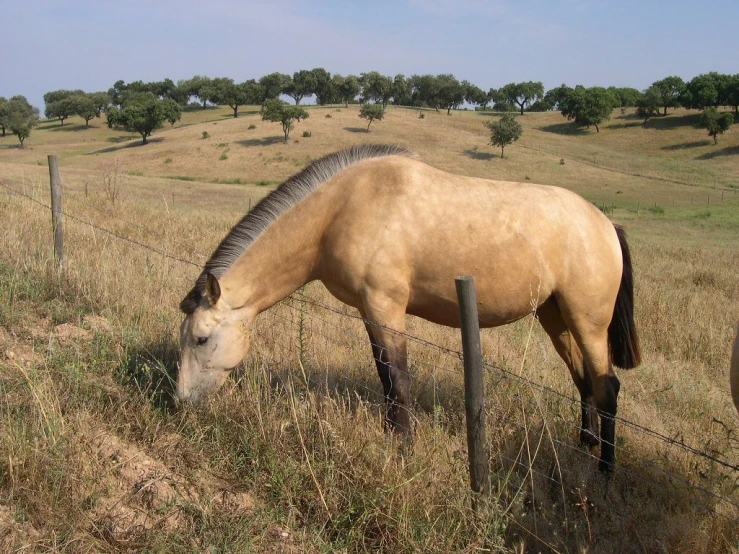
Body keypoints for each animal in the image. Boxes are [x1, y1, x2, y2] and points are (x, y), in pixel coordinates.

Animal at [176, 143, 640, 470]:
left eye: (201, 339)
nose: (180, 402)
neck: (342, 209)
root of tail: (605, 224)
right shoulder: (369, 312)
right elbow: (384, 376)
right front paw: (391, 437)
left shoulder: (386, 308)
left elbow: (397, 378)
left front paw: (402, 446)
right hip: (555, 317)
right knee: (583, 381)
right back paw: (585, 445)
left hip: (587, 322)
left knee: (607, 387)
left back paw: (605, 469)